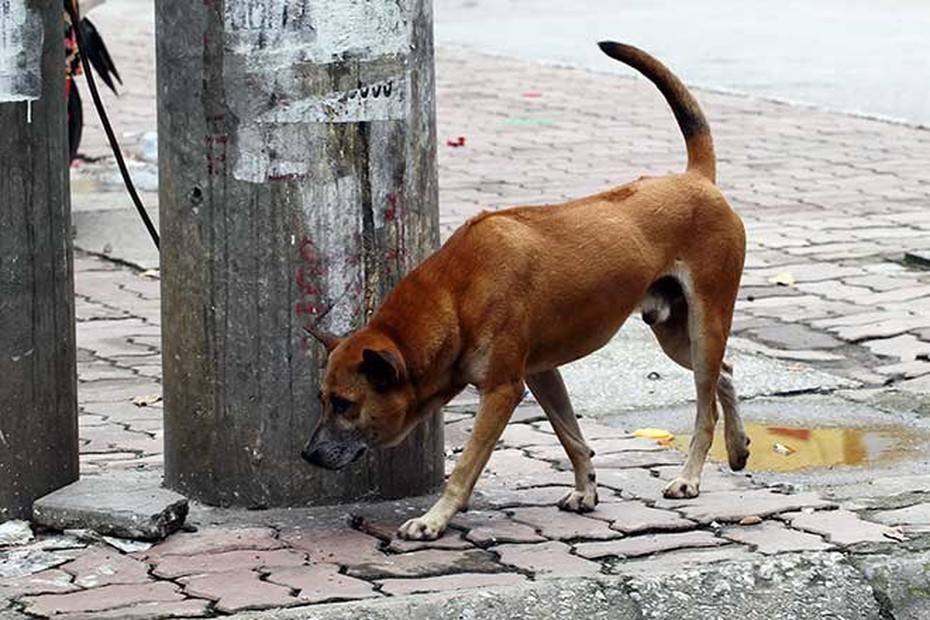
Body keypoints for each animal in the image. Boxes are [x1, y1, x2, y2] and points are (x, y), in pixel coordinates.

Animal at [304, 41, 748, 540]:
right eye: (321, 400)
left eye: (345, 405)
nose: (307, 454)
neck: (452, 296)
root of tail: (696, 178)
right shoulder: (541, 372)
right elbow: (571, 436)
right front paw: (586, 489)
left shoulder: (502, 390)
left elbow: (465, 467)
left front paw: (433, 520)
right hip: (674, 333)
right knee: (725, 372)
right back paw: (738, 447)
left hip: (706, 322)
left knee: (706, 406)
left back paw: (690, 477)